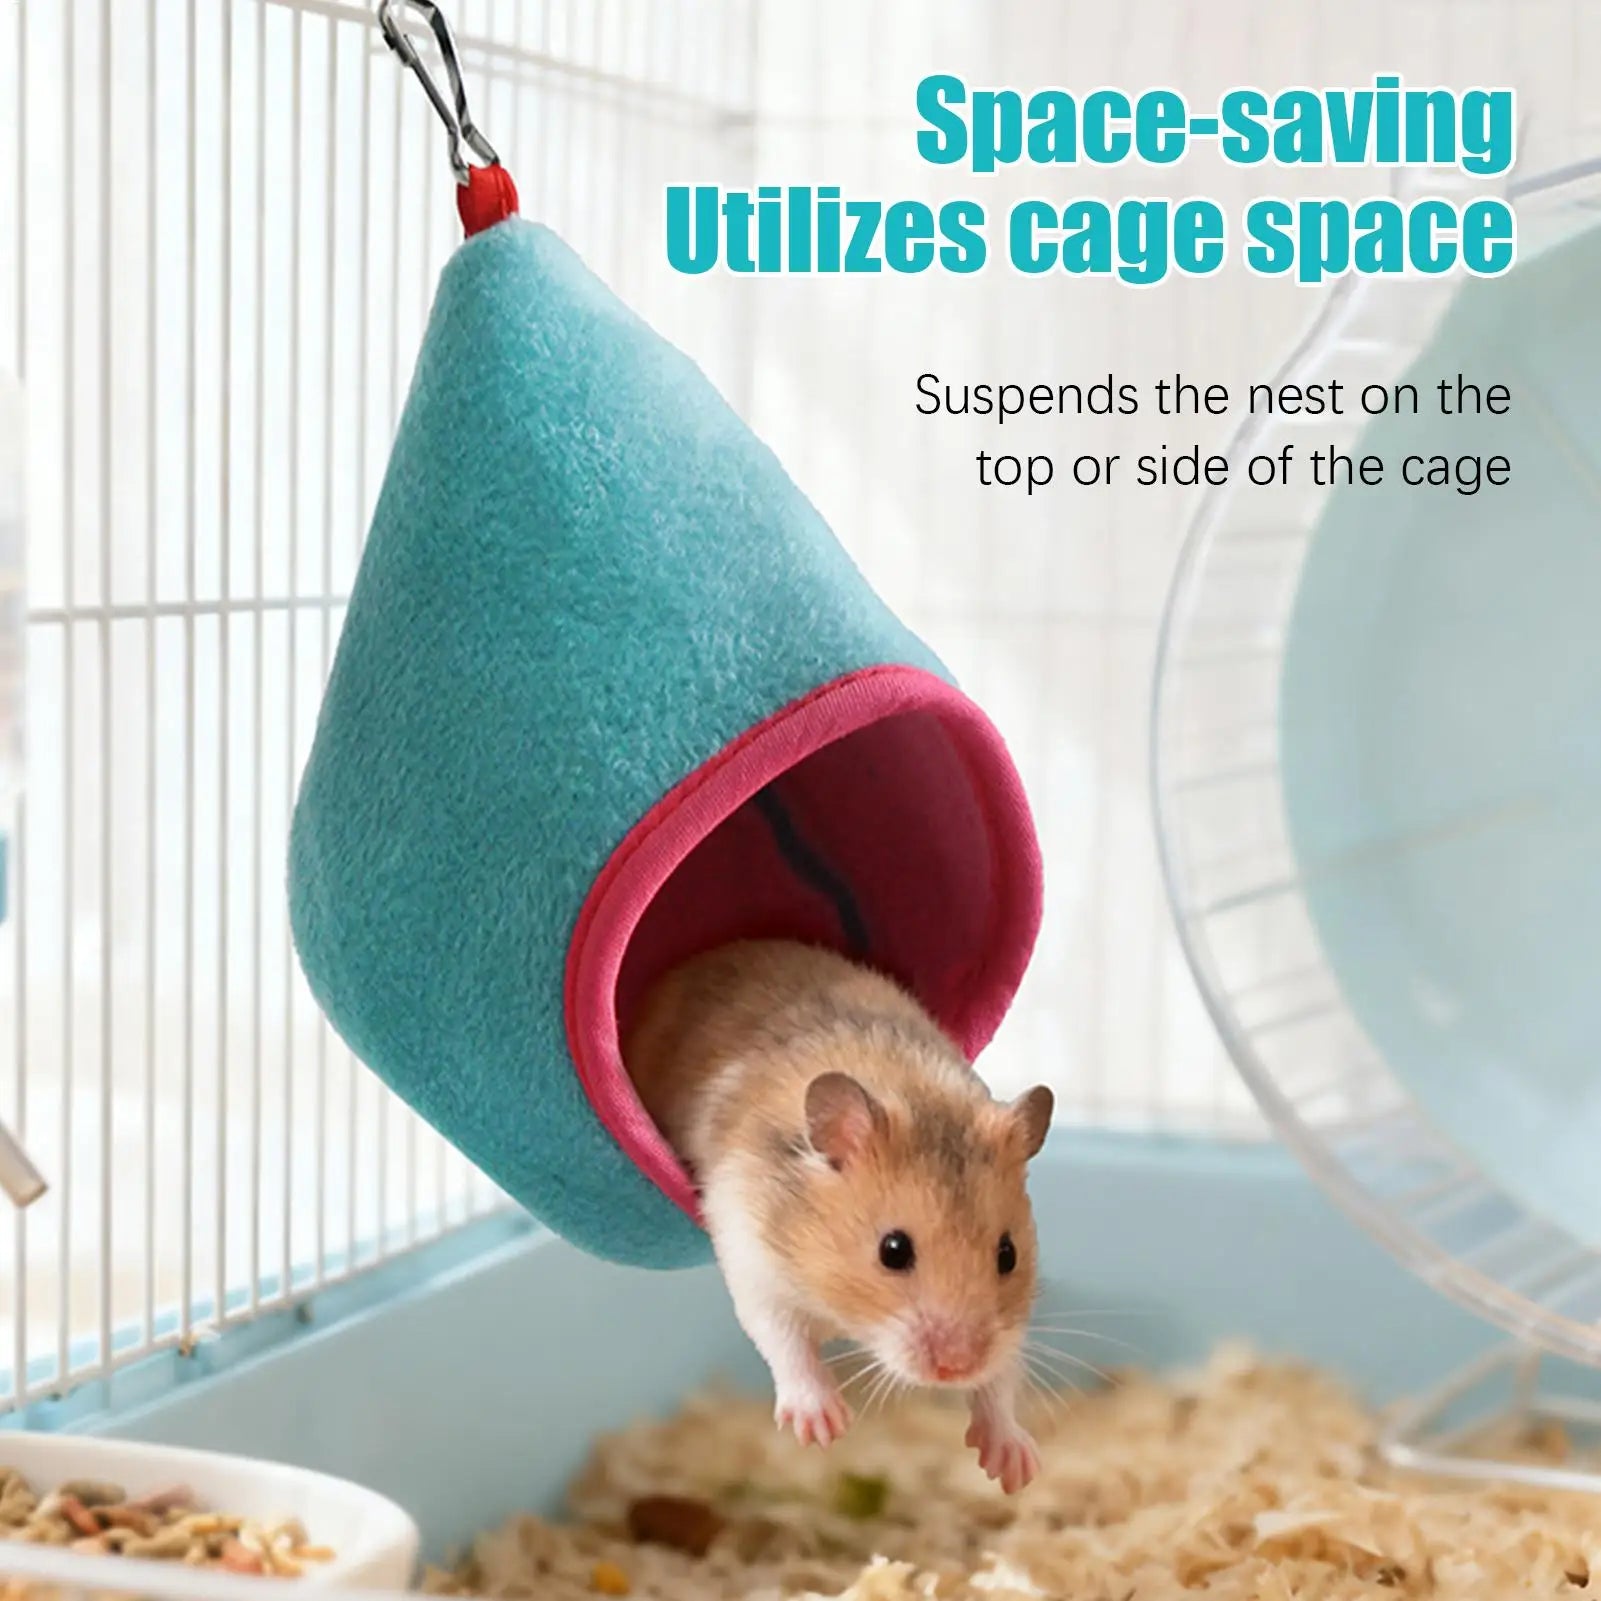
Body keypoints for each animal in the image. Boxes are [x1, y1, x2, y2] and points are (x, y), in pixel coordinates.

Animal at [624, 938, 1054, 1493]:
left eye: (1008, 1254)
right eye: (893, 1250)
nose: (956, 1367)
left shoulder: (1006, 1328)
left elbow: (1001, 1377)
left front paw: (1014, 1467)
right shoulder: (752, 1256)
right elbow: (781, 1336)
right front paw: (823, 1428)